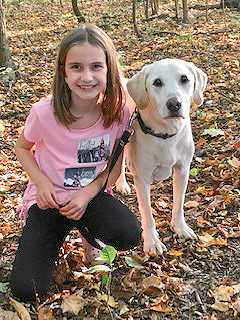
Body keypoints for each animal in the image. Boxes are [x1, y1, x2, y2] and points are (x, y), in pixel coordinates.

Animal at [117, 58, 207, 255]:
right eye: (157, 82)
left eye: (184, 79)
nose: (174, 104)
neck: (166, 134)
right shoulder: (142, 179)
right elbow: (148, 215)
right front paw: (152, 241)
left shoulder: (183, 170)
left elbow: (179, 205)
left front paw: (180, 227)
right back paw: (122, 184)